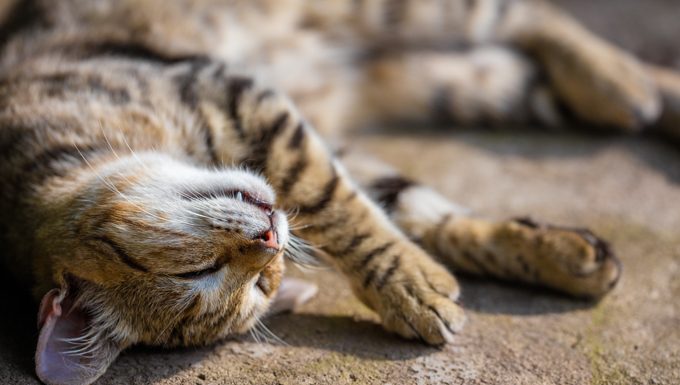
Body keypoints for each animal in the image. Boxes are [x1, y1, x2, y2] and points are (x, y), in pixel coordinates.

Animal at [1, 0, 680, 384]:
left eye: (199, 271)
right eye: (252, 284)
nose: (272, 240)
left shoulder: (239, 96)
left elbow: (334, 200)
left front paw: (413, 282)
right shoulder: (319, 142)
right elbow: (412, 208)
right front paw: (525, 259)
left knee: (527, 16)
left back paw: (615, 82)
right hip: (453, 82)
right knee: (525, 67)